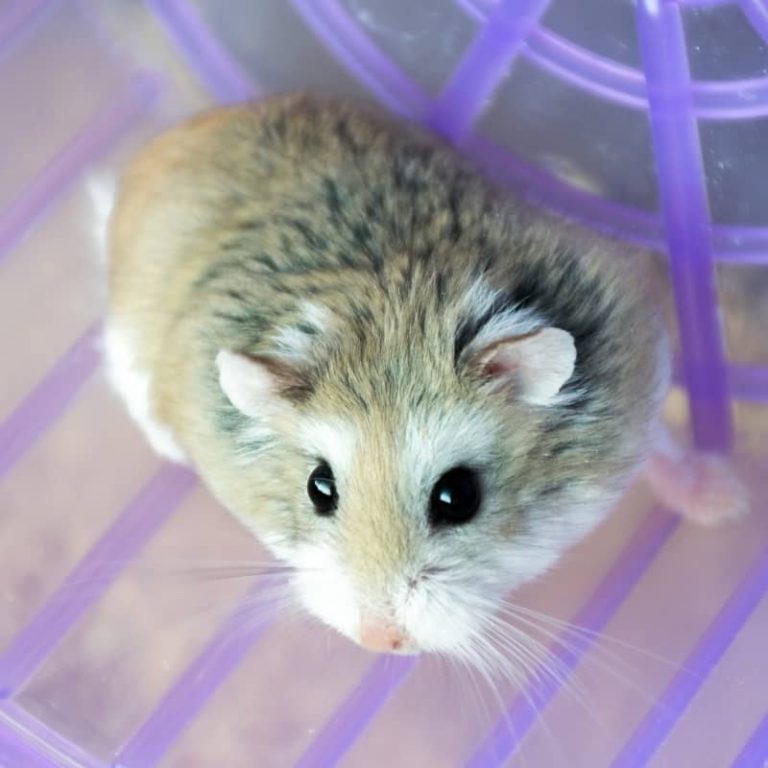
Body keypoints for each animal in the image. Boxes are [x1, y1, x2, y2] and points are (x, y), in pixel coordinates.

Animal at [104, 94, 742, 656]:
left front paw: (728, 503)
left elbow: (662, 446)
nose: (378, 642)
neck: (399, 325)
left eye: (458, 498)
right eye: (318, 489)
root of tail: (154, 150)